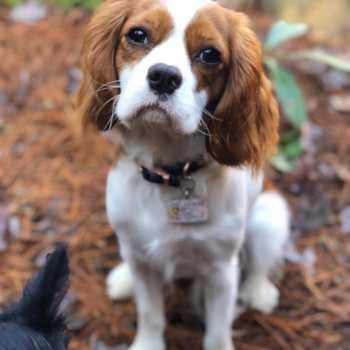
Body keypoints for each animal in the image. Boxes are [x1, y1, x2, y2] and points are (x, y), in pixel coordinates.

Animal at [76, 0, 290, 350]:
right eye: (137, 35)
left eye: (210, 54)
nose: (163, 76)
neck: (169, 173)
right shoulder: (140, 258)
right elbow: (150, 314)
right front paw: (147, 344)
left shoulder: (222, 271)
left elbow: (217, 334)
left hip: (270, 217)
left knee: (260, 263)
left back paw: (258, 291)